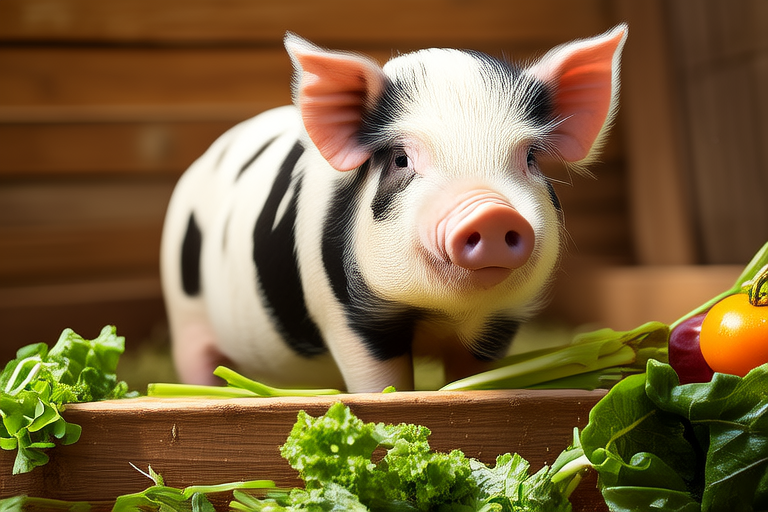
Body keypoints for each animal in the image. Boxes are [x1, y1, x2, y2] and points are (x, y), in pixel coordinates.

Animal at [160, 25, 628, 393]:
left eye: (530, 157)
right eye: (401, 159)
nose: (491, 212)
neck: (440, 315)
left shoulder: (498, 324)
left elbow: (472, 376)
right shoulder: (351, 318)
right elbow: (381, 383)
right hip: (184, 315)